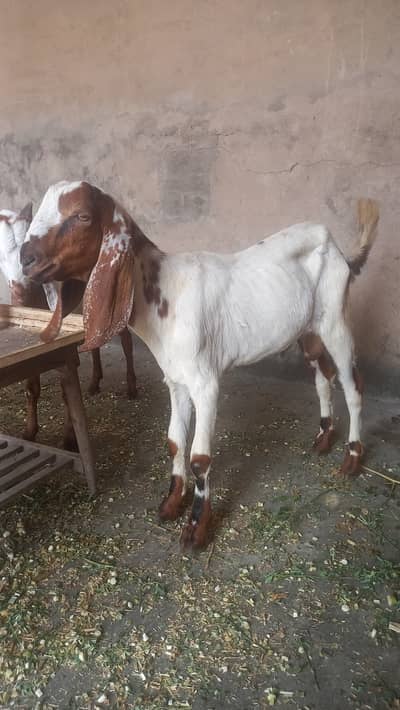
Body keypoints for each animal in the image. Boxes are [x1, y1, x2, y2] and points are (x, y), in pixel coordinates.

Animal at [0, 203, 137, 448]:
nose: (20, 289)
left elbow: (68, 390)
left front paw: (69, 438)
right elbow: (30, 386)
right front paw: (29, 432)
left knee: (126, 341)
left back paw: (131, 387)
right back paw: (94, 382)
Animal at [21, 181, 379, 549]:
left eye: (82, 216)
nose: (25, 257)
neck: (165, 293)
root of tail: (337, 248)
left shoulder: (206, 383)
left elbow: (199, 457)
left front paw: (196, 527)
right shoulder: (176, 380)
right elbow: (175, 442)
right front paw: (170, 502)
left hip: (335, 321)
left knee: (353, 384)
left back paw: (352, 458)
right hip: (309, 331)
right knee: (324, 375)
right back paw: (323, 438)